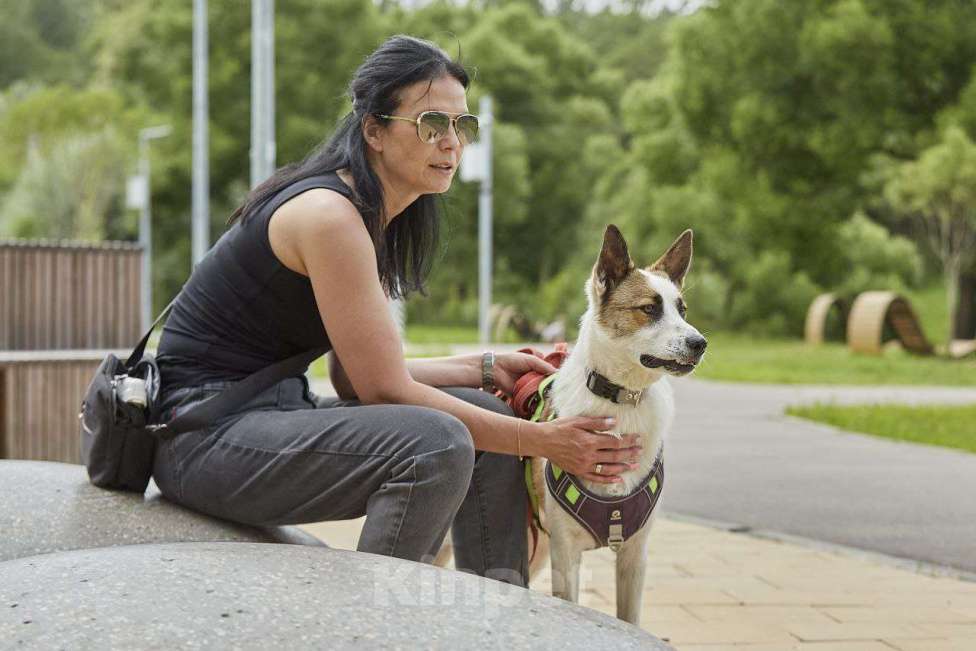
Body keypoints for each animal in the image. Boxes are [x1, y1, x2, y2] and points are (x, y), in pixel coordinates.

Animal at [528, 225, 708, 628]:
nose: (700, 343)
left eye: (682, 310)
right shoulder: (566, 555)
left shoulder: (634, 556)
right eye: (649, 308)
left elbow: (630, 619)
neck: (622, 400)